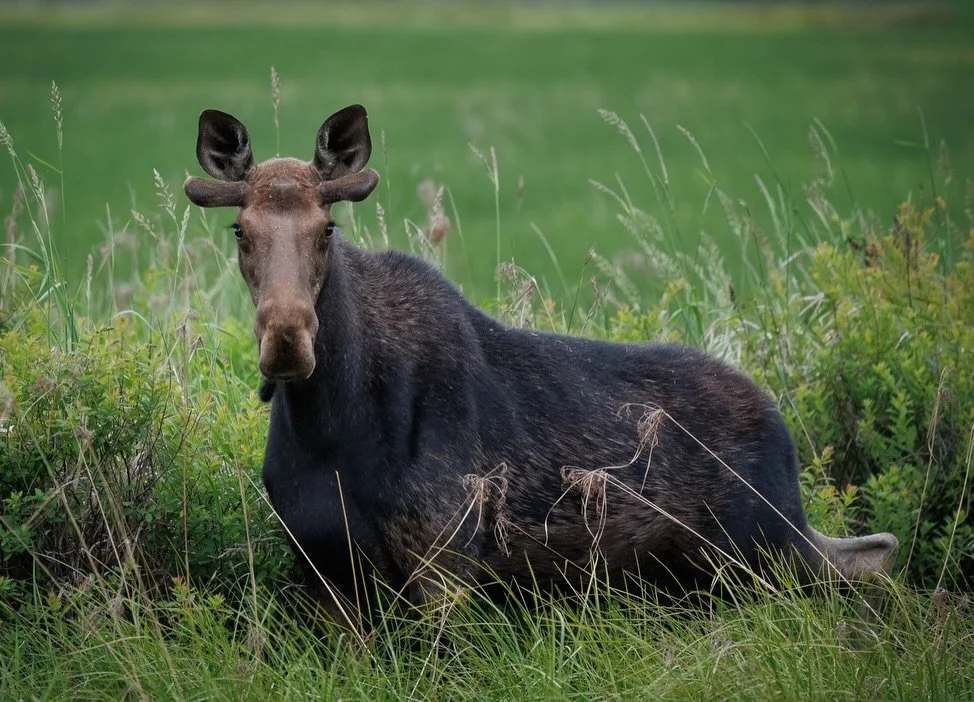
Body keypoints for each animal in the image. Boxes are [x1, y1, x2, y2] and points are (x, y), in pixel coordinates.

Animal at [183, 104, 899, 629]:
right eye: (240, 230)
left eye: (327, 229)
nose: (287, 340)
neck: (328, 426)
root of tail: (789, 458)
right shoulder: (323, 570)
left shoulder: (443, 561)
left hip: (764, 550)